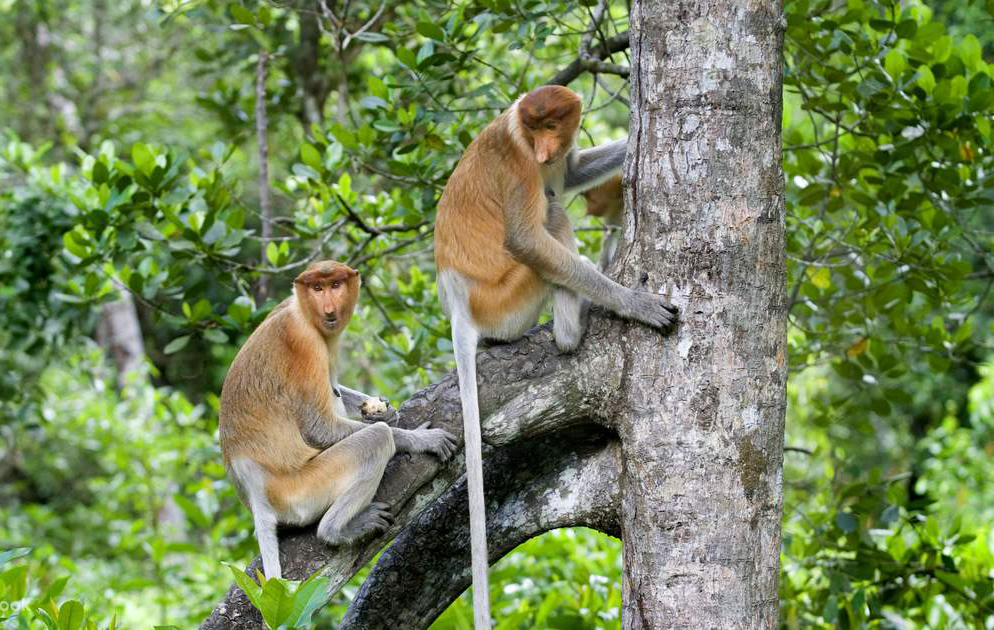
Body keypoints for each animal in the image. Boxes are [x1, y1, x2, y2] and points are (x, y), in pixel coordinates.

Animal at [219, 260, 457, 580]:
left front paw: (383, 409)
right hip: (302, 490)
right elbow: (317, 429)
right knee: (376, 440)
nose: (329, 308)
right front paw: (423, 439)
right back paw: (337, 530)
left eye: (335, 285)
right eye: (317, 288)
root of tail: (255, 487)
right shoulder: (304, 343)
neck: (303, 312)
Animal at [433, 85, 677, 629]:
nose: (545, 149)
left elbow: (571, 171)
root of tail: (457, 302)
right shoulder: (520, 164)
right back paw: (572, 327)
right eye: (535, 130)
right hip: (506, 300)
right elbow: (527, 236)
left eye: (553, 127)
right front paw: (636, 303)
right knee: (550, 215)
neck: (520, 132)